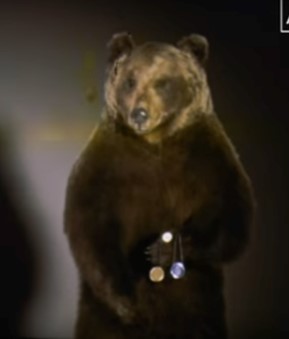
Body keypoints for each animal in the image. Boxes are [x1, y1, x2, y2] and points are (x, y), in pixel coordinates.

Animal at [63, 32, 254, 339]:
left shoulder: (210, 159)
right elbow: (91, 228)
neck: (156, 142)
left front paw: (163, 249)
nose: (140, 114)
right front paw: (131, 305)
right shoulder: (107, 164)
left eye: (163, 82)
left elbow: (231, 218)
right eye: (130, 80)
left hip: (203, 304)